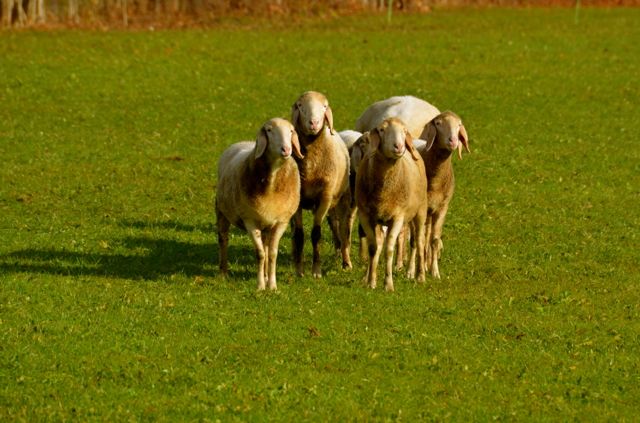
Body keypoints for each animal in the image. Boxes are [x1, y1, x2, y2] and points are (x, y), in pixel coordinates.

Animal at [216, 118, 303, 291]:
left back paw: (265, 275)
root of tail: (242, 142)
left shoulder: (281, 221)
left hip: (266, 225)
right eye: (269, 130)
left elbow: (272, 254)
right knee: (223, 240)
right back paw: (223, 272)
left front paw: (272, 285)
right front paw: (260, 286)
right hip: (221, 212)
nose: (286, 149)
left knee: (266, 246)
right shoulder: (250, 220)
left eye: (291, 131)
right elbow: (260, 254)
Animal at [291, 91, 352, 278]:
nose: (314, 123)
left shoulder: (324, 197)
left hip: (343, 200)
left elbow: (316, 234)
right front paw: (299, 270)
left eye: (324, 106)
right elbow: (299, 235)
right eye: (300, 106)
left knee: (344, 231)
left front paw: (316, 270)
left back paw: (346, 262)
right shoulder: (298, 200)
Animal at [355, 118, 428, 291]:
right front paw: (371, 281)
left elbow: (389, 250)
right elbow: (373, 248)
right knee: (379, 243)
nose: (399, 146)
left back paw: (420, 276)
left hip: (420, 211)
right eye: (382, 130)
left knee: (419, 241)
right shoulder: (365, 215)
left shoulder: (398, 217)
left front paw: (388, 284)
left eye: (404, 130)